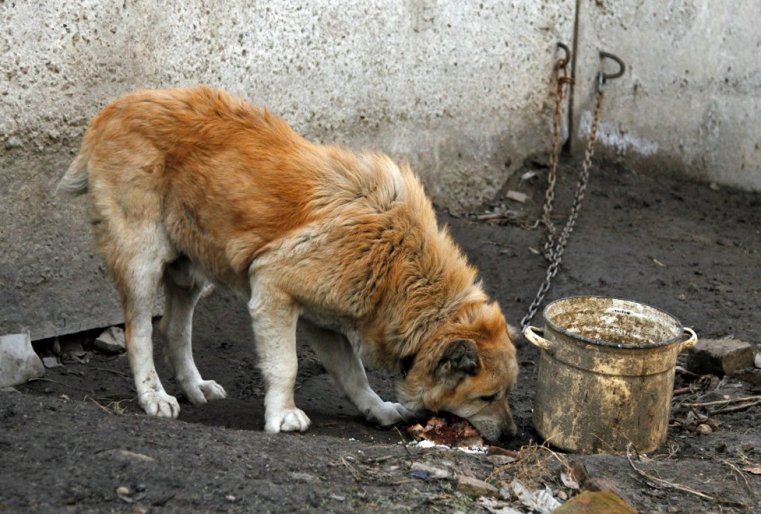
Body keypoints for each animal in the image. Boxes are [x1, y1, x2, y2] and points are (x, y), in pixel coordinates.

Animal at [56, 86, 520, 438]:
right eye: (488, 397)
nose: (512, 436)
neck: (397, 265)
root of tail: (111, 111)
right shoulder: (273, 287)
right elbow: (287, 365)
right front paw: (282, 415)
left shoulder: (326, 322)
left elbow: (354, 375)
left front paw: (378, 409)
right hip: (142, 261)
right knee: (137, 331)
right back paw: (154, 395)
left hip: (191, 269)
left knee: (174, 327)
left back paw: (193, 386)